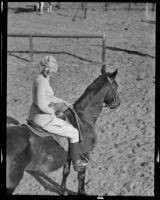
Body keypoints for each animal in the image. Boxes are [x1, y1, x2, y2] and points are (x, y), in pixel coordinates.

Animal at [6, 65, 120, 195]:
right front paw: (81, 192)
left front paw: (63, 190)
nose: (118, 103)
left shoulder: (70, 155)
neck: (83, 119)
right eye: (116, 86)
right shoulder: (85, 154)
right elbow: (81, 175)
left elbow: (66, 171)